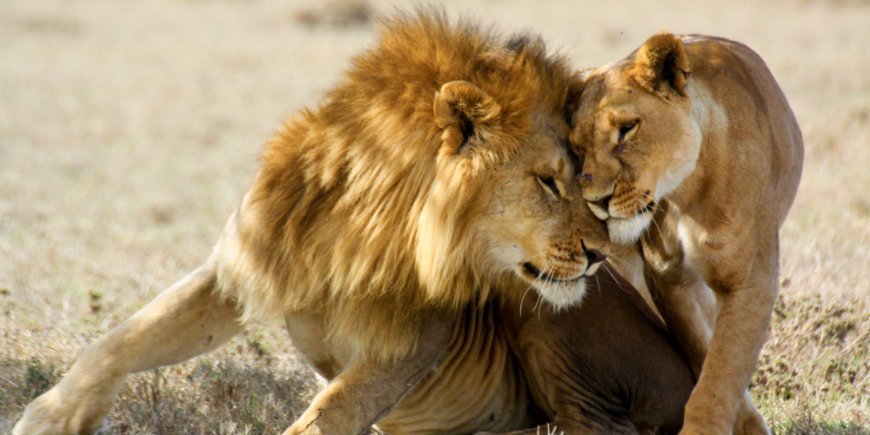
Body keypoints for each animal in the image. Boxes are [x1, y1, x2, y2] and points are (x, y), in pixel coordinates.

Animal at [13, 11, 615, 434]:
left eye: (584, 177)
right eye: (548, 181)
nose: (601, 253)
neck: (360, 228)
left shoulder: (409, 348)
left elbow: (324, 416)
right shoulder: (240, 266)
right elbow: (122, 339)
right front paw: (47, 418)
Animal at [568, 33, 804, 434]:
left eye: (627, 128)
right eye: (577, 148)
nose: (596, 201)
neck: (686, 192)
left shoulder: (750, 281)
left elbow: (721, 370)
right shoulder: (668, 278)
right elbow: (704, 353)